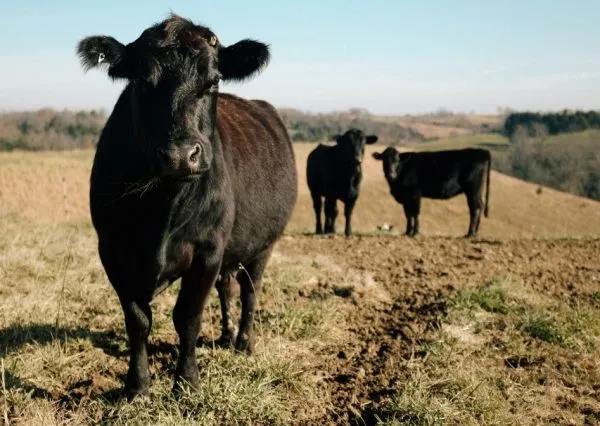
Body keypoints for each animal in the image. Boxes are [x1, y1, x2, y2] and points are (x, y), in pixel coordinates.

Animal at [77, 14, 298, 400]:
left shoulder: (207, 250)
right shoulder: (112, 251)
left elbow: (188, 317)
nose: (181, 155)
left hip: (262, 247)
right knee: (227, 288)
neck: (161, 208)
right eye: (141, 81)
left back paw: (243, 342)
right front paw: (137, 386)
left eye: (214, 81)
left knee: (249, 292)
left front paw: (187, 382)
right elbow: (138, 321)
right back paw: (225, 335)